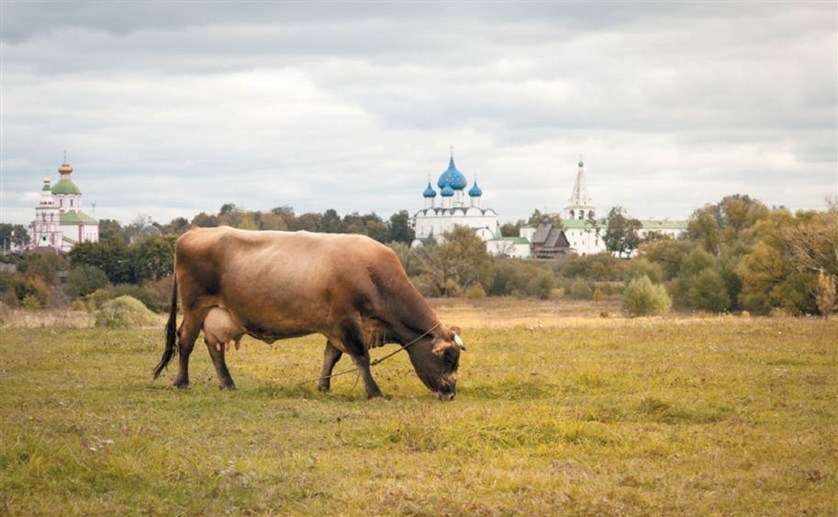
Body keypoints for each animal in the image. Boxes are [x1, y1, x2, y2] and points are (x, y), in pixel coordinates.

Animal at [151, 226, 466, 400]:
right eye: (448, 358)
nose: (450, 393)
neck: (373, 275)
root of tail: (195, 232)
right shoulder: (348, 321)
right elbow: (361, 357)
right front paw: (374, 392)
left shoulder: (336, 326)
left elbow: (331, 357)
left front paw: (323, 386)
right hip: (195, 306)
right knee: (185, 341)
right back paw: (182, 382)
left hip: (218, 315)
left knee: (215, 348)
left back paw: (228, 383)